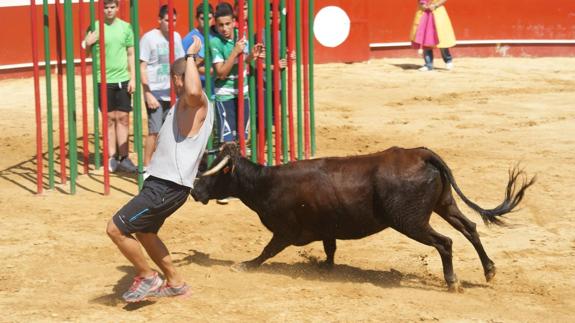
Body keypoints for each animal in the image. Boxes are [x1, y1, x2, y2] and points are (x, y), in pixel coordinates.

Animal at [192, 143, 536, 292]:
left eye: (212, 174)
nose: (194, 192)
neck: (266, 182)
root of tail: (421, 152)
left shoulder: (285, 232)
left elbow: (267, 250)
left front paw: (245, 265)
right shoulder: (327, 227)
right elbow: (330, 248)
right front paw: (325, 268)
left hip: (410, 221)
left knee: (445, 242)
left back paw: (452, 283)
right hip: (444, 204)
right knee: (469, 227)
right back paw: (489, 270)